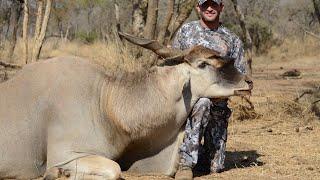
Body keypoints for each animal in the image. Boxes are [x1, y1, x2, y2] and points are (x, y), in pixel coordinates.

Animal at [0, 32, 251, 179]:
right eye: (204, 64)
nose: (248, 81)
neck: (104, 102)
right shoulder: (64, 155)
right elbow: (114, 169)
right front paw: (58, 174)